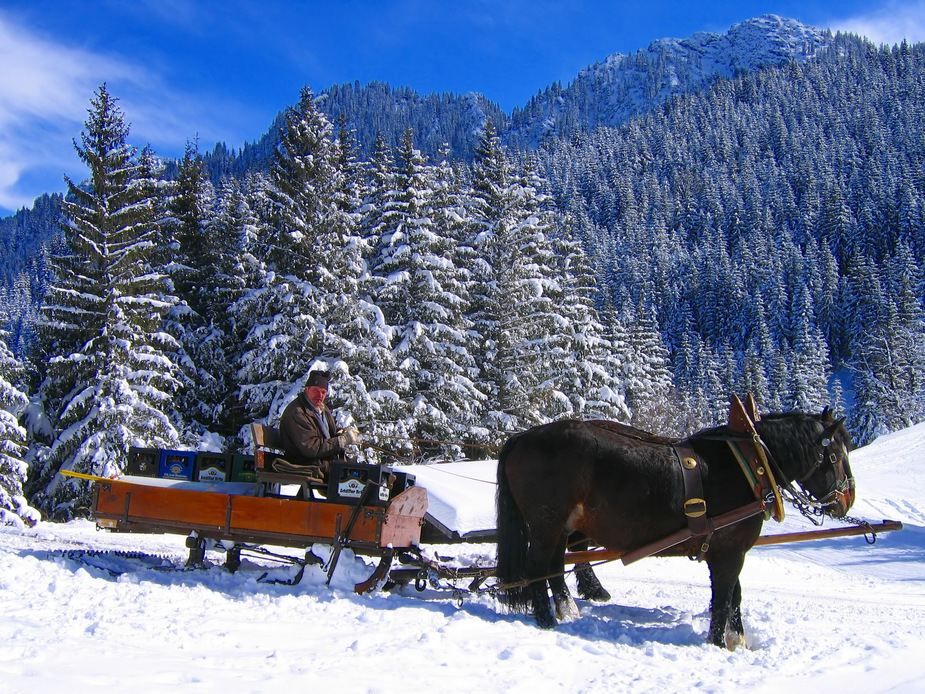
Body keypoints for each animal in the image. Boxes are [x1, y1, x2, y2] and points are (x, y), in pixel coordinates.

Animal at [498, 410, 852, 648]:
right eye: (835, 456)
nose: (846, 500)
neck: (750, 466)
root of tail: (521, 437)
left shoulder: (729, 549)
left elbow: (735, 597)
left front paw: (737, 640)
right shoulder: (730, 552)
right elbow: (724, 599)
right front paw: (717, 644)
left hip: (561, 525)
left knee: (555, 565)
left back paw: (567, 610)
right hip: (547, 522)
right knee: (537, 567)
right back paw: (546, 620)